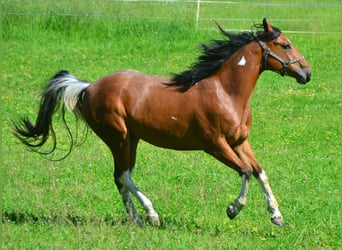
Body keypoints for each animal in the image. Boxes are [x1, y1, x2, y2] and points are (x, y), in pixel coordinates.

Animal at [13, 18, 312, 227]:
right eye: (285, 45)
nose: (307, 73)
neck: (225, 92)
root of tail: (87, 87)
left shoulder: (239, 142)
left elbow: (260, 172)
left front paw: (277, 216)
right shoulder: (215, 145)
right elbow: (246, 172)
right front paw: (232, 210)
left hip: (130, 139)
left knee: (121, 177)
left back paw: (136, 219)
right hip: (118, 137)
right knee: (123, 175)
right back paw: (152, 215)